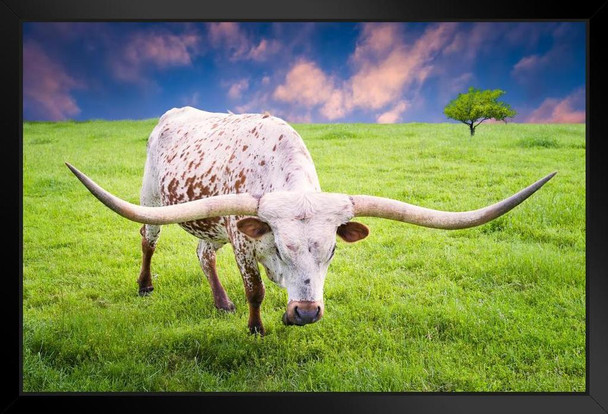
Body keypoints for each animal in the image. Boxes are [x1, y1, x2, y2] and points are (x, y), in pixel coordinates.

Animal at [67, 105, 556, 334]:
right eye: (282, 248)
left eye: (333, 250)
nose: (304, 313)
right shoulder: (245, 243)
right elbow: (257, 290)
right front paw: (256, 328)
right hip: (152, 198)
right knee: (148, 238)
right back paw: (146, 285)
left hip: (210, 218)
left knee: (203, 253)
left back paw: (221, 302)